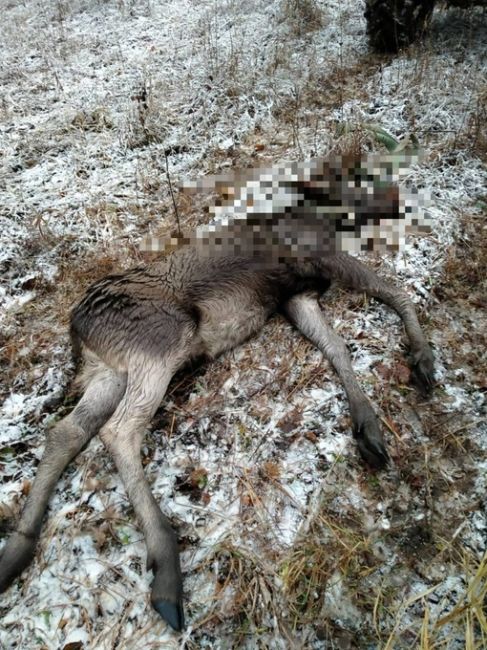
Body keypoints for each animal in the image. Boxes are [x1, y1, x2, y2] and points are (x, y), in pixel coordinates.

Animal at [0, 157, 434, 628]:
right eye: (356, 180)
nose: (398, 197)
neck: (322, 218)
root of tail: (77, 327)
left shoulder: (297, 294)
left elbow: (338, 349)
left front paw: (368, 427)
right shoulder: (319, 258)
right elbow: (395, 291)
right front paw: (423, 359)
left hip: (110, 373)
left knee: (67, 431)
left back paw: (16, 549)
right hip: (163, 340)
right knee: (118, 431)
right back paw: (166, 565)